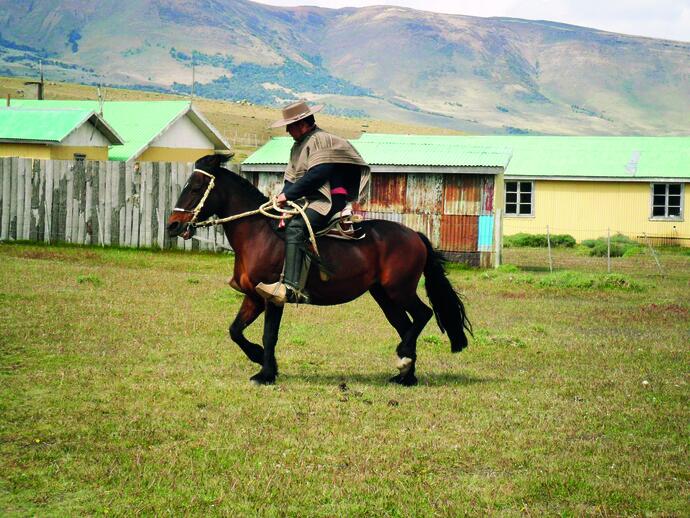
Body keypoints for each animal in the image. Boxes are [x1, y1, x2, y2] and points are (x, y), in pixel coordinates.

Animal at [165, 154, 472, 386]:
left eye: (196, 187)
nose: (173, 225)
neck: (258, 233)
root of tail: (414, 235)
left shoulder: (274, 298)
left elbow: (269, 334)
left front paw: (266, 373)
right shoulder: (254, 297)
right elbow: (235, 331)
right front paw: (259, 358)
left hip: (400, 290)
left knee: (423, 314)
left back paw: (405, 360)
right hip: (383, 296)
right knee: (406, 325)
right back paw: (406, 374)